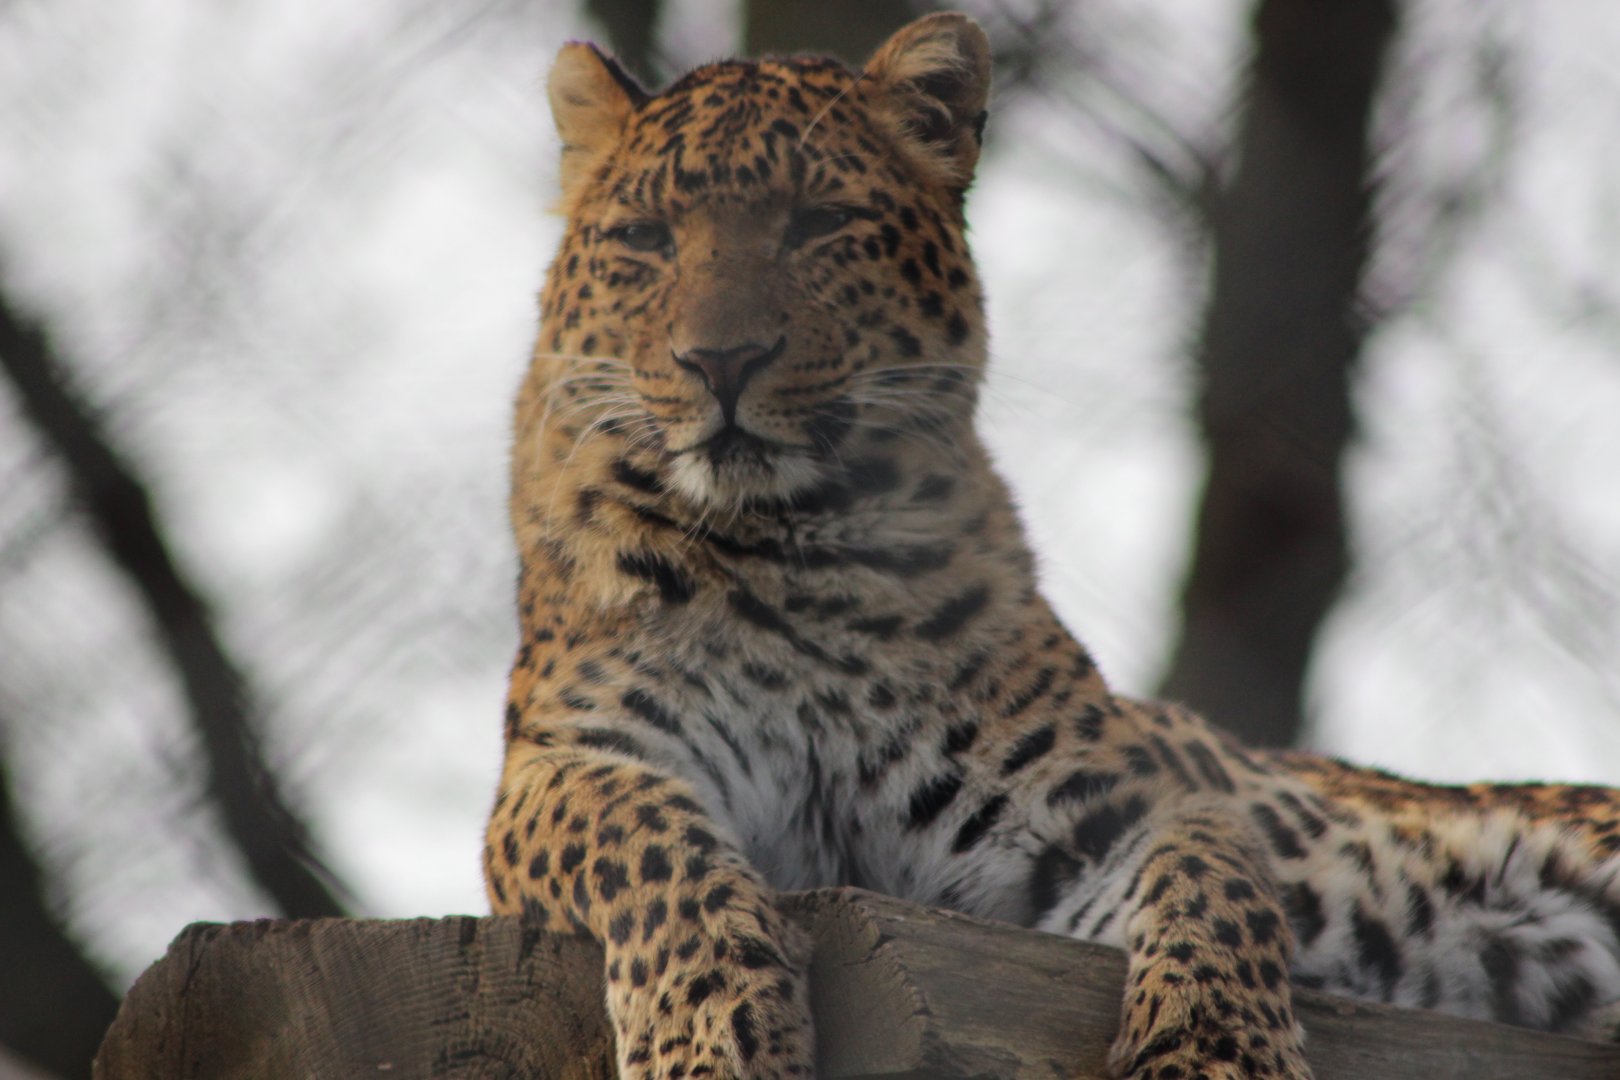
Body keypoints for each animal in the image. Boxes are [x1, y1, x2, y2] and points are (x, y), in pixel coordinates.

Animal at [482, 12, 1620, 1079]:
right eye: (644, 237)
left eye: (821, 224)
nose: (720, 360)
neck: (792, 549)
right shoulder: (565, 763)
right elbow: (648, 848)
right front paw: (711, 1032)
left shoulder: (1108, 815)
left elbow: (1217, 876)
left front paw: (1218, 1049)